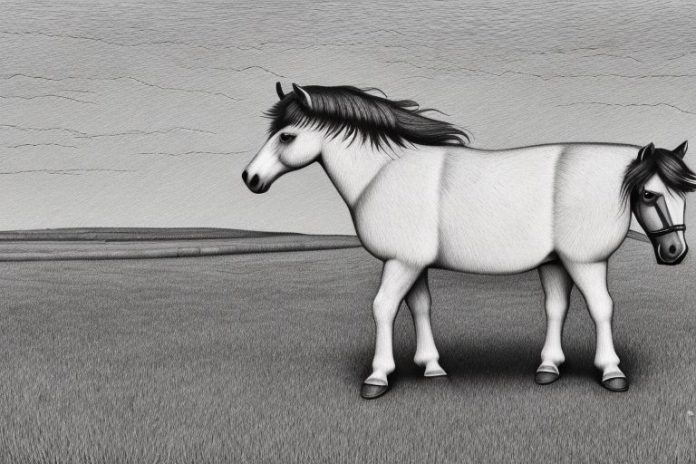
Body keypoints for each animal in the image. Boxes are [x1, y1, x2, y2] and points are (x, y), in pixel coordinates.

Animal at [243, 82, 696, 399]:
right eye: (651, 195)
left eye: (286, 136)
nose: (250, 178)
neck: (384, 173)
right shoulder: (410, 261)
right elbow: (419, 308)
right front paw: (430, 367)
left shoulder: (401, 262)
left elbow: (383, 308)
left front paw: (377, 377)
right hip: (556, 261)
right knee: (556, 308)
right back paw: (547, 369)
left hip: (579, 261)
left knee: (597, 308)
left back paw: (602, 371)